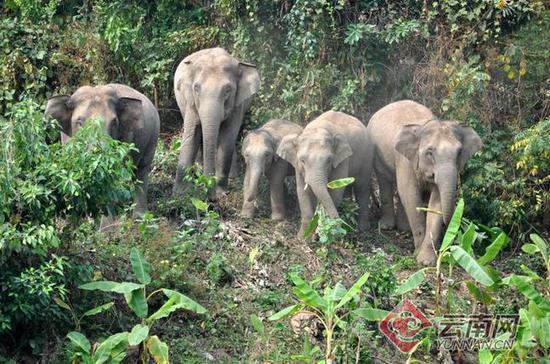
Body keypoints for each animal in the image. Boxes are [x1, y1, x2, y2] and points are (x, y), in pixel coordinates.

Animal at [176, 47, 262, 200]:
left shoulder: (237, 104)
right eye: (196, 88)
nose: (211, 199)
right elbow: (192, 134)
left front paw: (221, 192)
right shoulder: (190, 102)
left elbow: (227, 136)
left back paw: (232, 176)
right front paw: (180, 193)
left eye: (228, 90)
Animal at [366, 99, 484, 264]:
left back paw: (404, 228)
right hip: (377, 154)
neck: (423, 126)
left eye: (459, 152)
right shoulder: (405, 160)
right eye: (429, 153)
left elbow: (436, 202)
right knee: (385, 181)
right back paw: (386, 227)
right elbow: (410, 195)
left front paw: (426, 261)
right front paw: (417, 255)